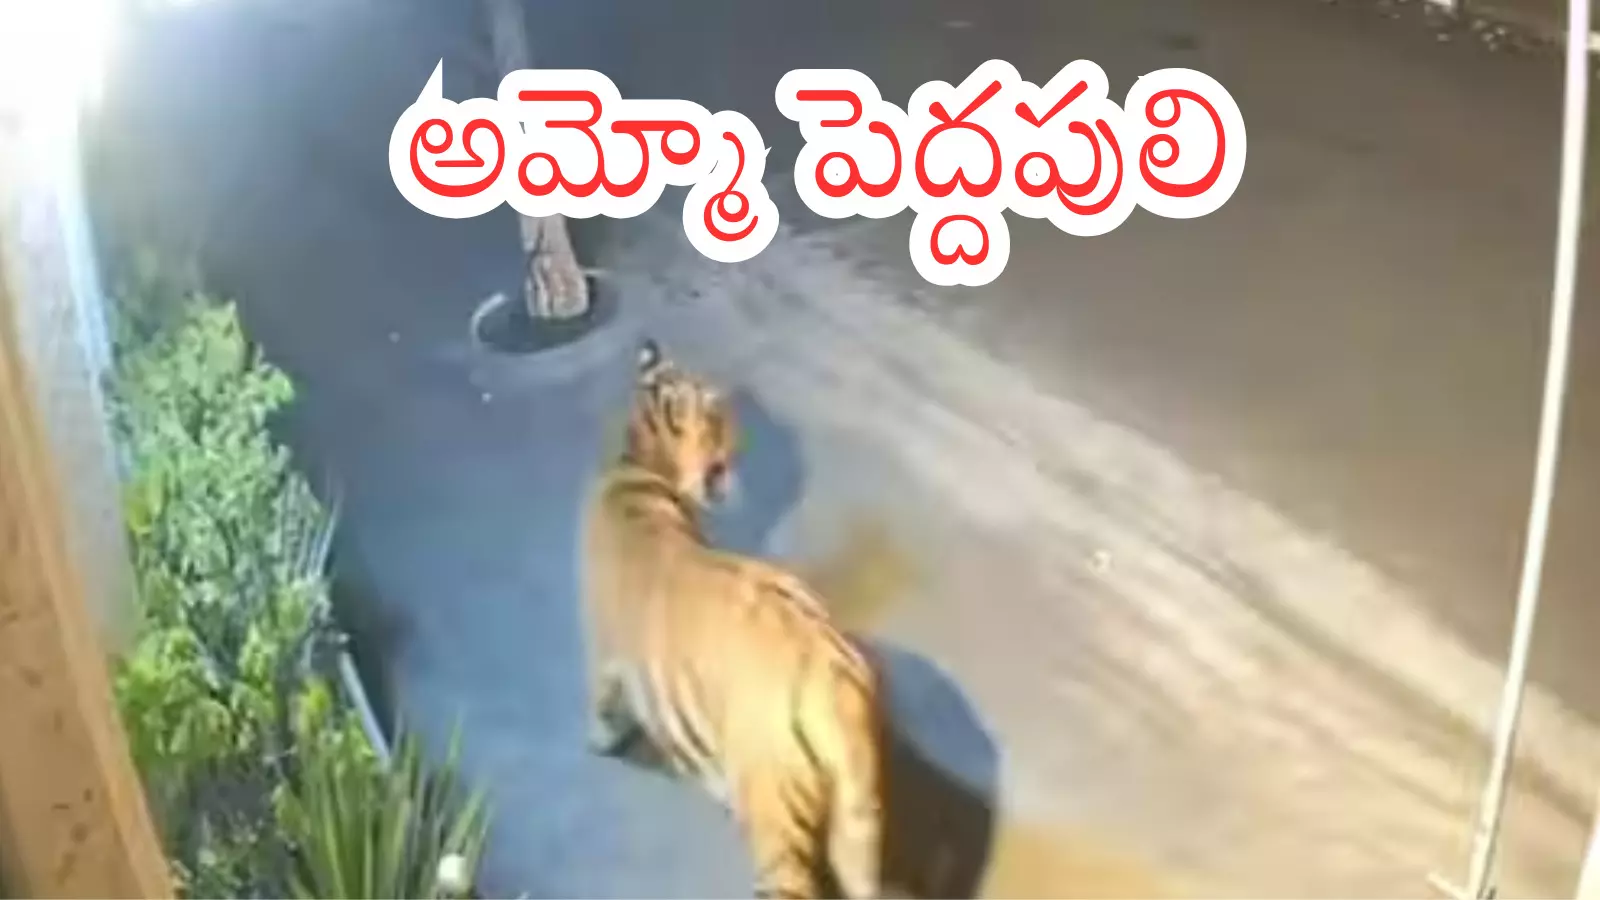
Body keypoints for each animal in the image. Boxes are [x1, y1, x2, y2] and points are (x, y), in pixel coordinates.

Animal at [579, 338, 887, 900]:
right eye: (718, 413)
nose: (740, 424)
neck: (642, 460)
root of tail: (833, 683)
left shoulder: (605, 655)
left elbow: (603, 708)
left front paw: (600, 743)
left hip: (776, 817)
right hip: (858, 820)